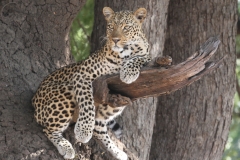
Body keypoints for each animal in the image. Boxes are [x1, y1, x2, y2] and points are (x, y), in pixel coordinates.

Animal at [31, 6, 150, 160]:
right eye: (111, 27)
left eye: (126, 27)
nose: (115, 40)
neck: (124, 54)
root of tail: (34, 100)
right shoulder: (82, 74)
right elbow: (87, 103)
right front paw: (83, 131)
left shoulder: (147, 55)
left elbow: (140, 57)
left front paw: (128, 72)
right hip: (65, 92)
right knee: (48, 129)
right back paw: (66, 147)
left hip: (115, 102)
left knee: (99, 128)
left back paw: (117, 152)